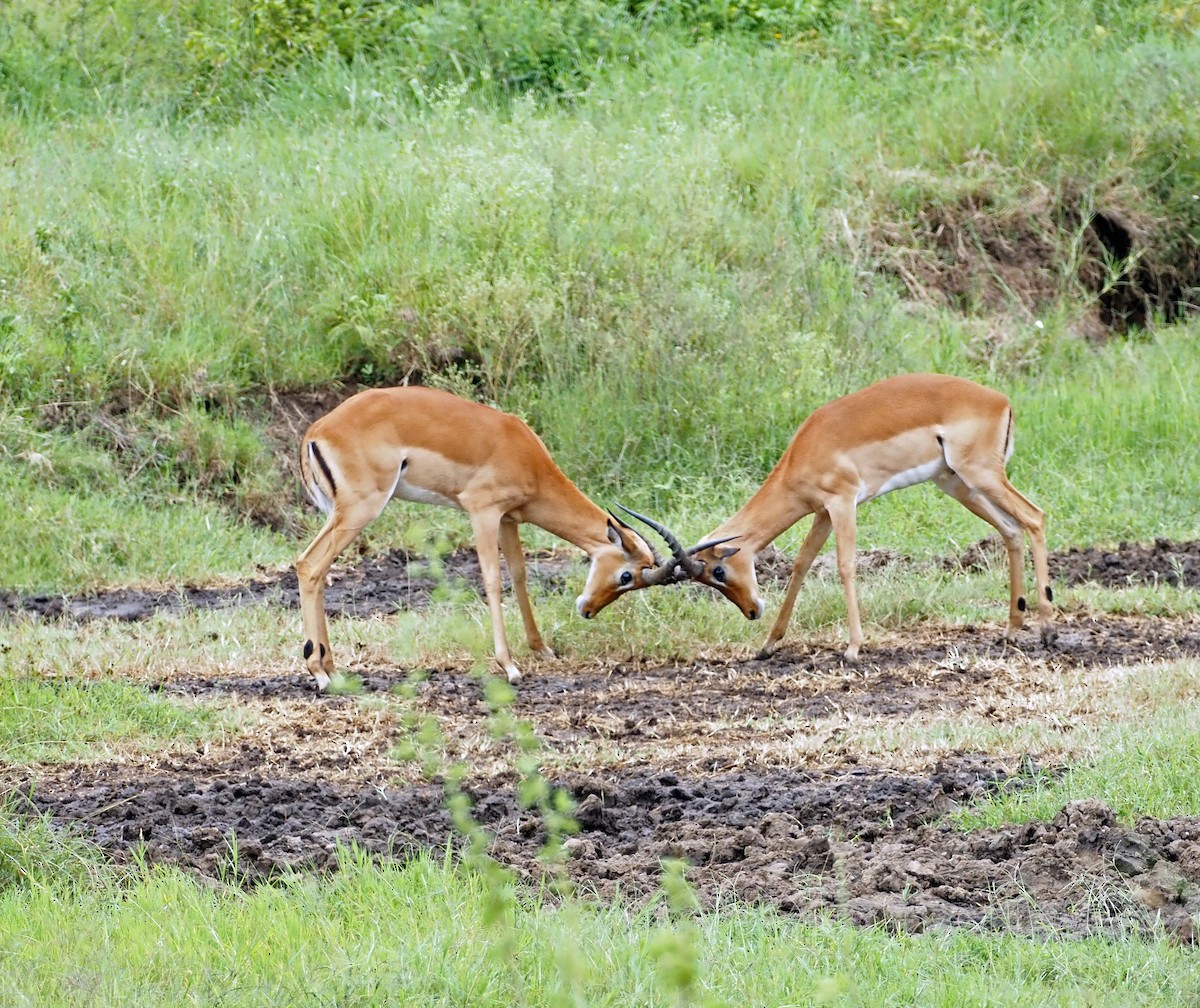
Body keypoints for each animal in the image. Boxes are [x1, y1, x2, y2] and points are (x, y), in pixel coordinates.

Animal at [295, 385, 693, 689]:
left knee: (316, 569)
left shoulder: (508, 519)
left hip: (343, 513)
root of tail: (316, 431)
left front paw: (541, 648)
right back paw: (320, 673)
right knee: (309, 564)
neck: (525, 452)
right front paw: (510, 666)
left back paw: (331, 668)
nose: (588, 610)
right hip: (362, 509)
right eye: (626, 575)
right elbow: (491, 579)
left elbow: (518, 574)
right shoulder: (482, 511)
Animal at [624, 373, 1056, 661]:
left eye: (718, 571)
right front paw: (768, 644)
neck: (805, 449)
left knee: (1035, 517)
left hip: (981, 475)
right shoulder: (822, 512)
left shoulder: (843, 502)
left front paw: (852, 648)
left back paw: (1048, 628)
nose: (751, 611)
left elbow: (846, 566)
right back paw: (1012, 629)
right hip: (957, 484)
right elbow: (801, 564)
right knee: (1012, 530)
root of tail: (1000, 400)